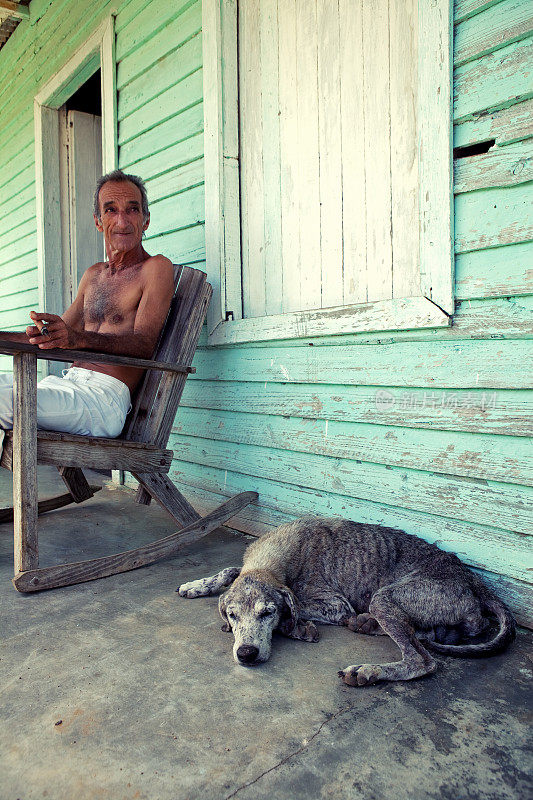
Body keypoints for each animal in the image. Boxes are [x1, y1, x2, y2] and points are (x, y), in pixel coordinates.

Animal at [179, 520, 516, 688]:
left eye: (268, 612)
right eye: (233, 615)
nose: (246, 654)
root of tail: (473, 579)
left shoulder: (335, 605)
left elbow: (296, 605)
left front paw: (296, 626)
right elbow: (229, 570)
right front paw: (197, 585)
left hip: (385, 598)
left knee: (422, 660)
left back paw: (369, 670)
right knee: (443, 632)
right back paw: (368, 624)